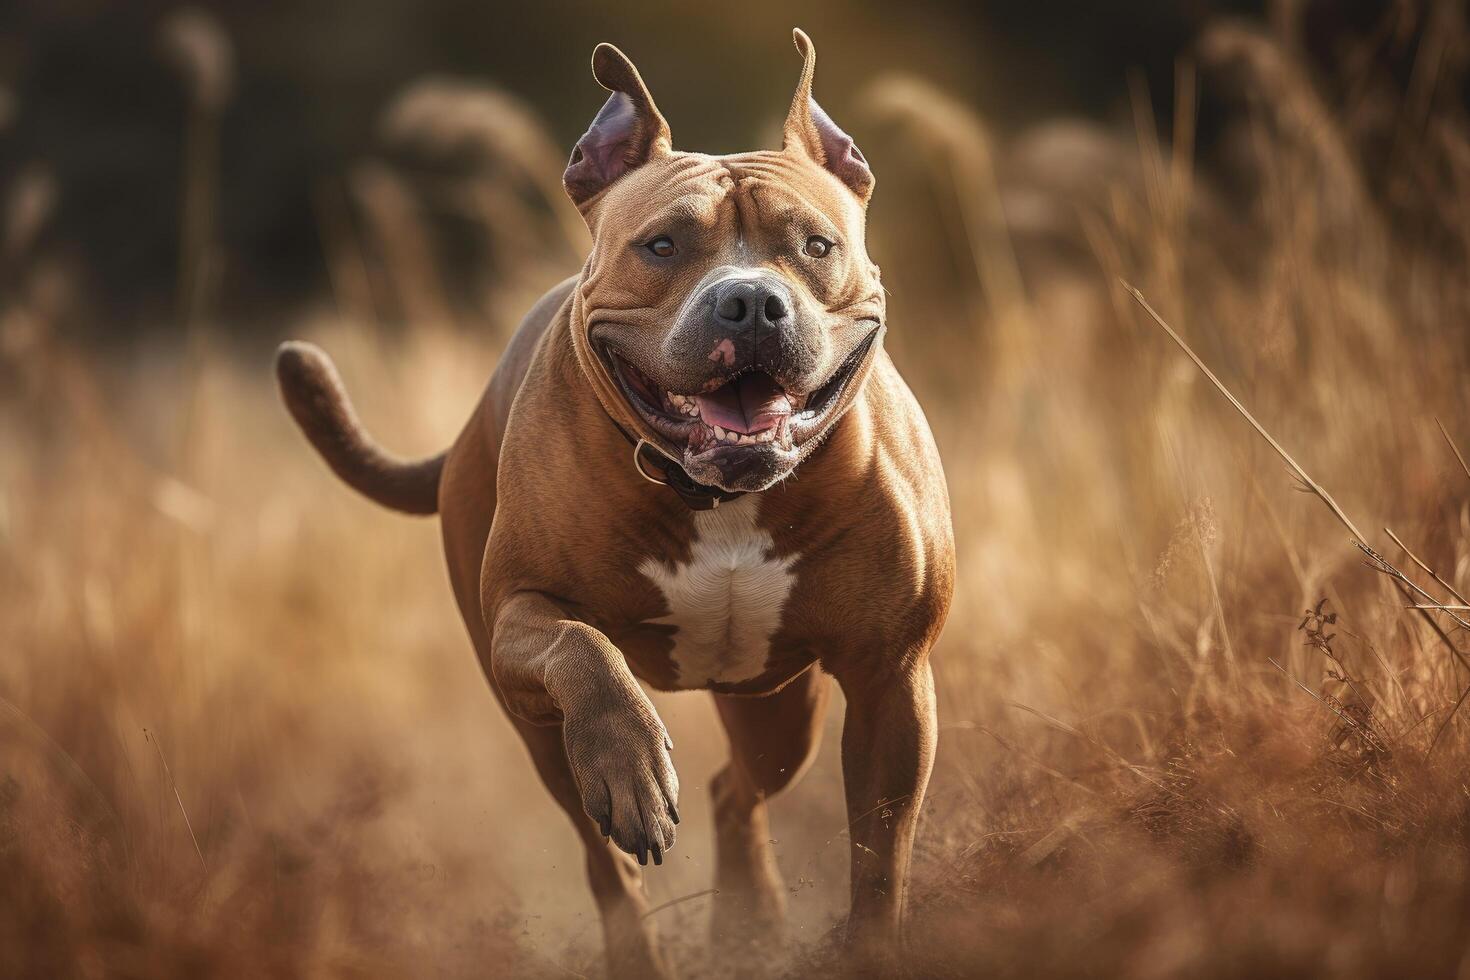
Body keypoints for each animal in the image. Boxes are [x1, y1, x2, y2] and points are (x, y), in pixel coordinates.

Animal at [277, 26, 952, 975]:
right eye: (661, 246)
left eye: (815, 246)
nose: (751, 302)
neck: (717, 494)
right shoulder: (519, 617)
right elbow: (583, 648)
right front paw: (632, 766)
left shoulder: (892, 678)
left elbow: (880, 851)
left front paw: (873, 948)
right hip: (539, 729)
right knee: (608, 861)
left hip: (782, 706)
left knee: (738, 786)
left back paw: (749, 921)